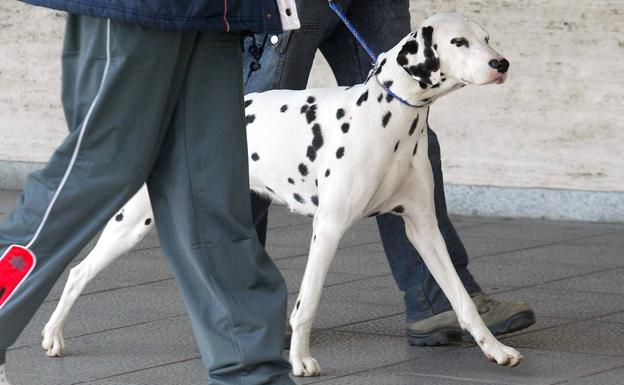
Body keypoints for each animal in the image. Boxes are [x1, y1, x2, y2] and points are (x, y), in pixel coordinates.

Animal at [40, 13, 516, 376]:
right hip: (132, 223)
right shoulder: (329, 229)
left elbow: (461, 298)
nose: (502, 62)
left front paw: (494, 349)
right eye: (458, 42)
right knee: (79, 271)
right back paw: (52, 334)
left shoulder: (424, 229)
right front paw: (301, 361)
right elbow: (307, 303)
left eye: (487, 38)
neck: (391, 120)